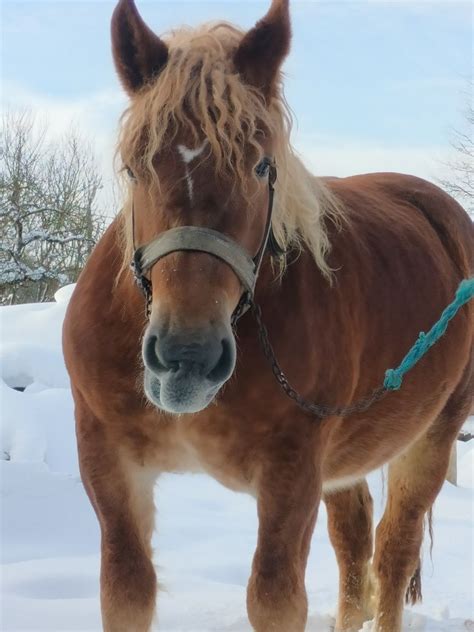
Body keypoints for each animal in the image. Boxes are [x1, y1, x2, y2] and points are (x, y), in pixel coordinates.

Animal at [63, 1, 474, 632]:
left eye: (261, 166)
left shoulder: (291, 475)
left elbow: (275, 596)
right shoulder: (110, 466)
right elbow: (126, 590)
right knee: (354, 543)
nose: (186, 357)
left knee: (392, 551)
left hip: (431, 436)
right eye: (135, 168)